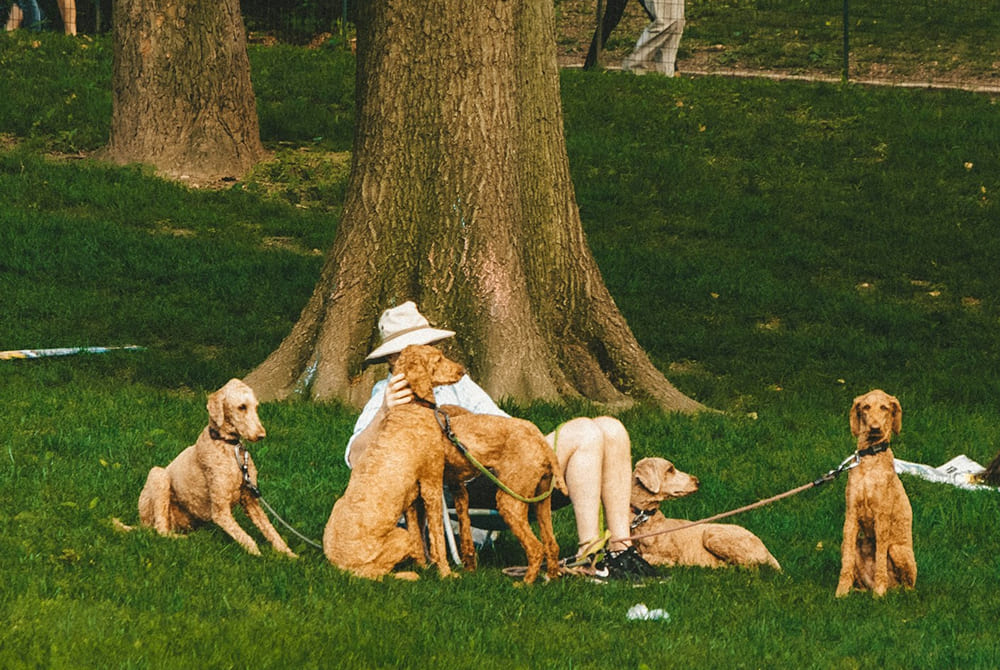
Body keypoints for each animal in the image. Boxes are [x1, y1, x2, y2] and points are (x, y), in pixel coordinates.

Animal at [134, 379, 296, 558]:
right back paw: (183, 540)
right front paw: (258, 555)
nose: (261, 435)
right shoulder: (220, 511)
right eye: (242, 407)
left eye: (256, 407)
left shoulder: (251, 501)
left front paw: (289, 555)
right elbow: (246, 538)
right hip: (158, 476)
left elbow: (271, 531)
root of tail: (141, 524)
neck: (229, 447)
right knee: (161, 530)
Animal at [395, 344, 567, 584]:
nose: (462, 370)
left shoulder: (422, 492)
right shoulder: (456, 488)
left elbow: (422, 537)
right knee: (552, 545)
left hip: (509, 500)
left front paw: (428, 566)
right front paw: (465, 565)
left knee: (536, 548)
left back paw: (524, 584)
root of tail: (541, 441)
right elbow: (458, 531)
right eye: (438, 360)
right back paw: (550, 579)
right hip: (541, 500)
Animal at [629, 457, 782, 570]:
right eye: (670, 469)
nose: (697, 482)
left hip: (712, 533)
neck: (644, 519)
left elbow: (648, 557)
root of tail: (767, 552)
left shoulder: (670, 556)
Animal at [836, 389, 917, 597]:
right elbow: (847, 562)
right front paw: (841, 591)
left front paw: (879, 594)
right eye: (865, 407)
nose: (874, 428)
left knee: (908, 586)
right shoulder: (851, 516)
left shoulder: (882, 519)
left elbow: (880, 559)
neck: (870, 458)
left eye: (884, 407)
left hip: (897, 549)